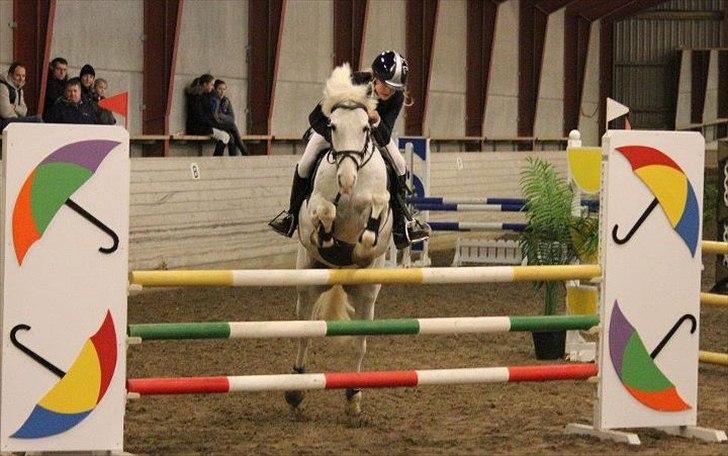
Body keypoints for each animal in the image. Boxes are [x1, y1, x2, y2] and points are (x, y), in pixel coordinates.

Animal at [285, 63, 394, 415]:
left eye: (365, 128)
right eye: (332, 126)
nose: (346, 180)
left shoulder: (380, 206)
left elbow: (376, 211)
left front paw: (358, 248)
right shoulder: (314, 208)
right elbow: (325, 211)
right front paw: (330, 238)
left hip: (367, 295)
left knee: (360, 343)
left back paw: (353, 395)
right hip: (307, 281)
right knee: (304, 333)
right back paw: (295, 390)